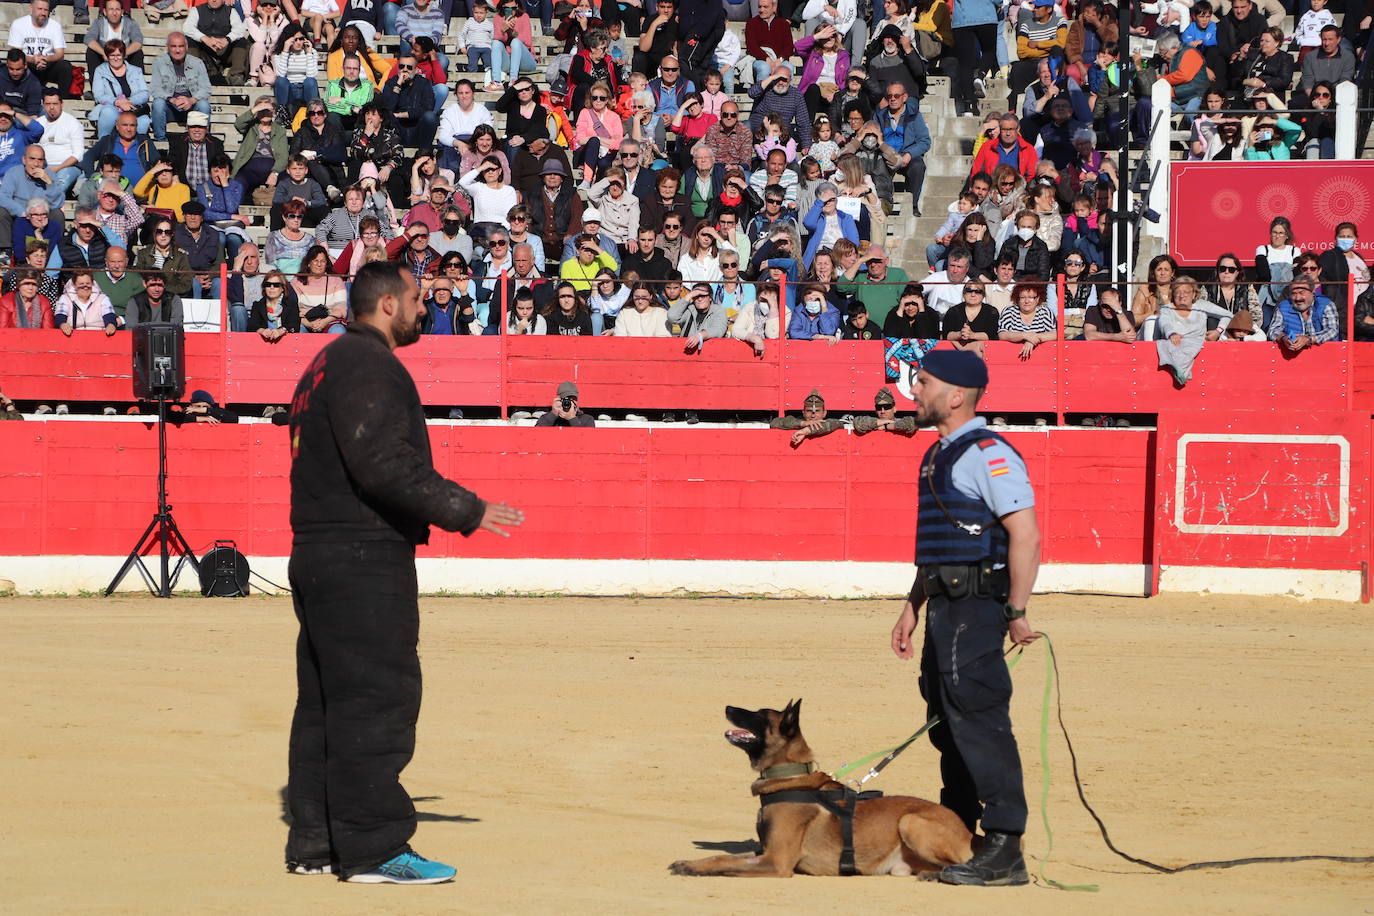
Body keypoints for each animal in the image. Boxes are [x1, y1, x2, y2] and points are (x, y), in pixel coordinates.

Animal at [667, 703, 972, 878]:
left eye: (759, 715)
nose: (728, 707)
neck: (789, 776)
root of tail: (969, 832)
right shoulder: (763, 851)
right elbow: (722, 856)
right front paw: (689, 863)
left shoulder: (777, 861)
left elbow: (727, 864)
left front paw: (694, 869)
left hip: (910, 822)